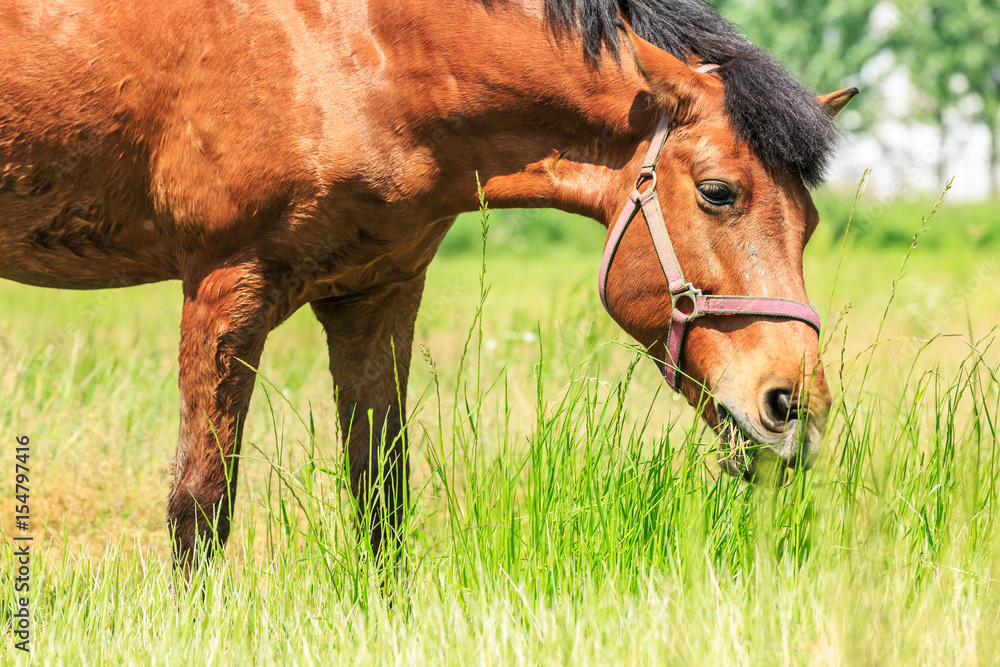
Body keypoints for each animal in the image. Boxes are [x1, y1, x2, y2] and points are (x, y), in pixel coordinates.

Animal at [1, 0, 860, 576]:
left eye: (811, 220)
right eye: (719, 192)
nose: (795, 407)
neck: (351, 46)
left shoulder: (377, 296)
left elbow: (381, 495)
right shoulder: (223, 284)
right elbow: (200, 503)